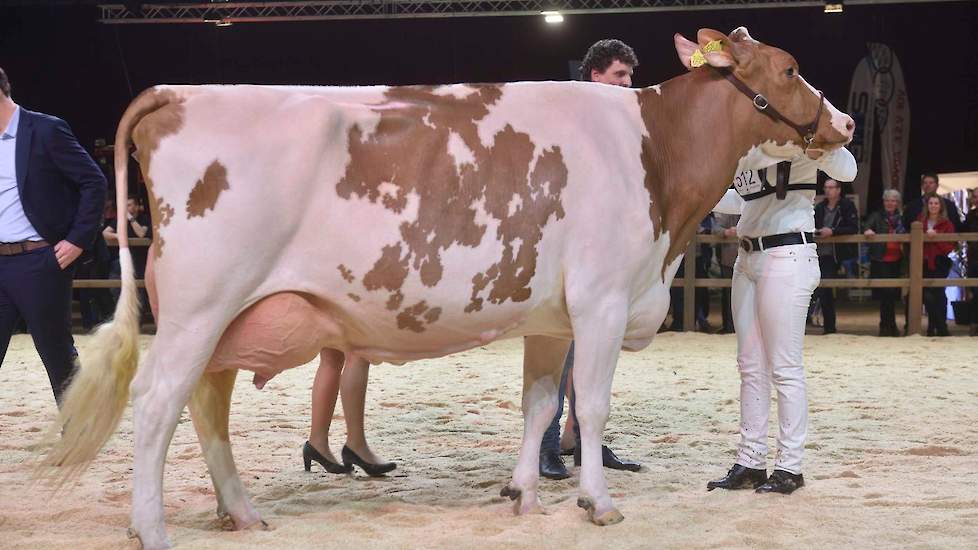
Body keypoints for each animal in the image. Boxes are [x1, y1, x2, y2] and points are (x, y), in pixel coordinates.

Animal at [40, 28, 848, 548]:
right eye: (788, 68)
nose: (842, 121)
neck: (654, 154)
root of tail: (177, 93)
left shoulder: (550, 317)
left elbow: (540, 403)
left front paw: (523, 494)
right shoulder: (602, 300)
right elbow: (590, 405)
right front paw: (597, 502)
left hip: (229, 317)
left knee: (207, 406)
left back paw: (241, 514)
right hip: (196, 308)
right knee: (156, 405)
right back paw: (150, 527)